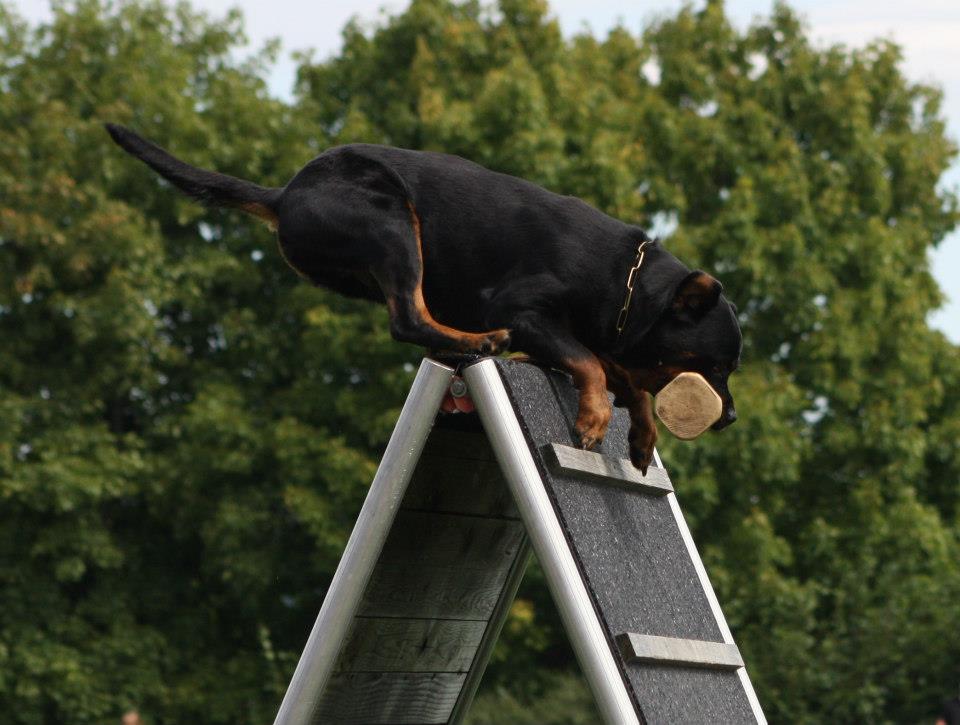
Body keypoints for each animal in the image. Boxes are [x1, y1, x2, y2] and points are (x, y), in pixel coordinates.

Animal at [105, 124, 741, 472]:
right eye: (714, 367)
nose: (731, 416)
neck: (624, 280)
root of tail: (284, 194)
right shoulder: (523, 309)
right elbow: (590, 363)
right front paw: (593, 417)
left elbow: (623, 374)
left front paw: (641, 435)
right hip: (391, 220)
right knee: (408, 318)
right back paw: (478, 341)